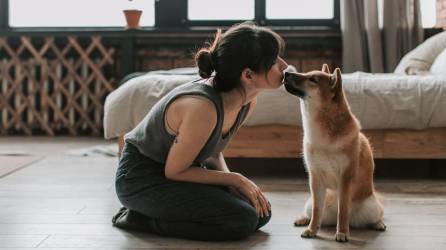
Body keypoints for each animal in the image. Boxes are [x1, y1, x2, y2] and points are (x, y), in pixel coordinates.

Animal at [284, 64, 386, 242]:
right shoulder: (315, 177)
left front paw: (343, 232)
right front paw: (312, 229)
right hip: (311, 202)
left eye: (312, 79)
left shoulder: (345, 177)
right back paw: (303, 219)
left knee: (376, 215)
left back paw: (378, 224)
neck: (323, 137)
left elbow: (343, 209)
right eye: (307, 73)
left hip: (371, 207)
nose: (286, 73)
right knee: (313, 213)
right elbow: (317, 211)